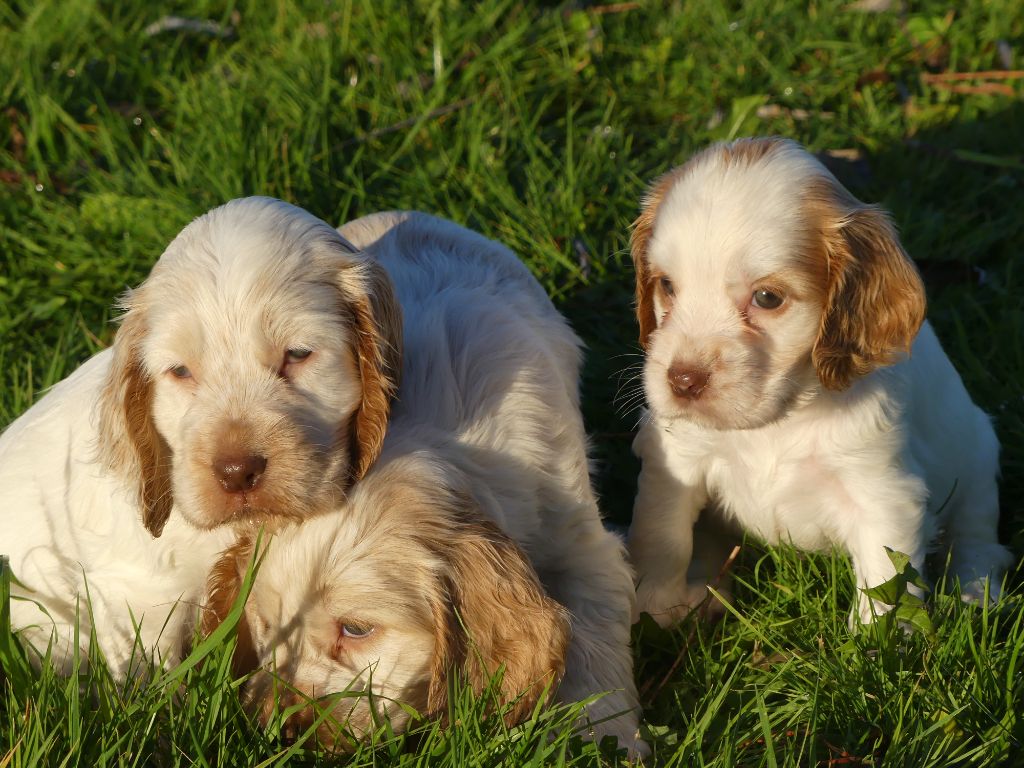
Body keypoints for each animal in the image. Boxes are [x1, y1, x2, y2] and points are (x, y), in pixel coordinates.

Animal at [626, 137, 1011, 626]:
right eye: (668, 286)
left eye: (767, 297)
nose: (682, 380)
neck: (779, 417)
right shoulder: (677, 459)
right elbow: (662, 535)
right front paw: (655, 610)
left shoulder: (881, 493)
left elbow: (885, 586)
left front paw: (875, 643)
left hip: (978, 457)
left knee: (978, 537)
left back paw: (977, 592)